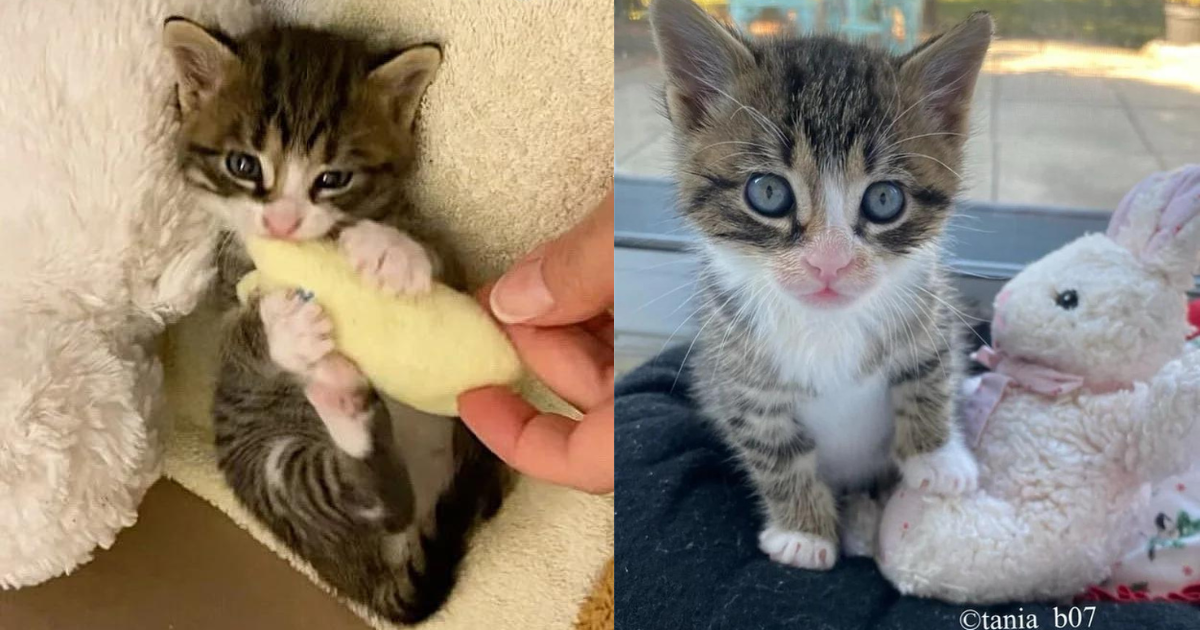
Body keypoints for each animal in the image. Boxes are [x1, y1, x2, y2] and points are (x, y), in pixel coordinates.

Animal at [160, 18, 506, 619]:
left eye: (333, 178)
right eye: (243, 165)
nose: (281, 222)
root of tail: (358, 578)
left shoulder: (452, 264)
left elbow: (443, 260)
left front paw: (392, 251)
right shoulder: (220, 299)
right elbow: (236, 338)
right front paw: (281, 330)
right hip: (275, 468)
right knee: (375, 502)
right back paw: (347, 405)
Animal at [652, 0, 988, 568]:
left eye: (884, 200)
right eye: (768, 192)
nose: (829, 264)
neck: (826, 327)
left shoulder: (929, 306)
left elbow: (929, 373)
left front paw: (937, 457)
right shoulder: (737, 374)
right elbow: (773, 450)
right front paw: (803, 532)